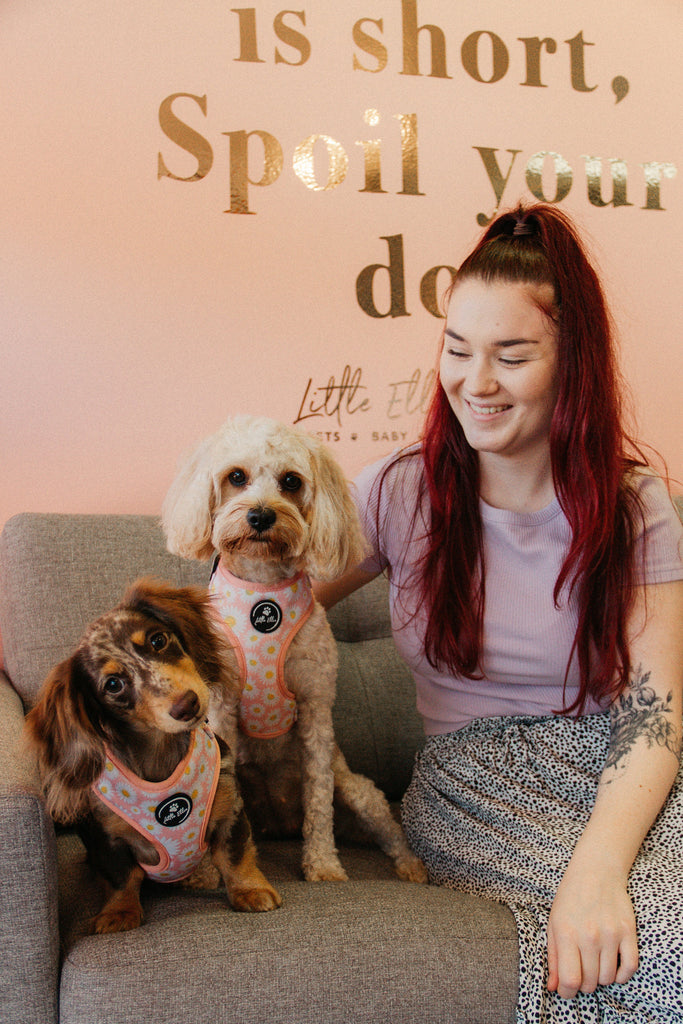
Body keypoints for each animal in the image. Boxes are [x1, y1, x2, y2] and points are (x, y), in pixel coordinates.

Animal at [162, 413, 423, 880]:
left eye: (291, 481)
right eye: (236, 477)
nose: (261, 516)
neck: (262, 595)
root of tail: (282, 822)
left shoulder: (315, 704)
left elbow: (318, 799)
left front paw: (323, 865)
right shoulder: (222, 708)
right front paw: (212, 871)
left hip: (358, 791)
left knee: (387, 830)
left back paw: (412, 868)